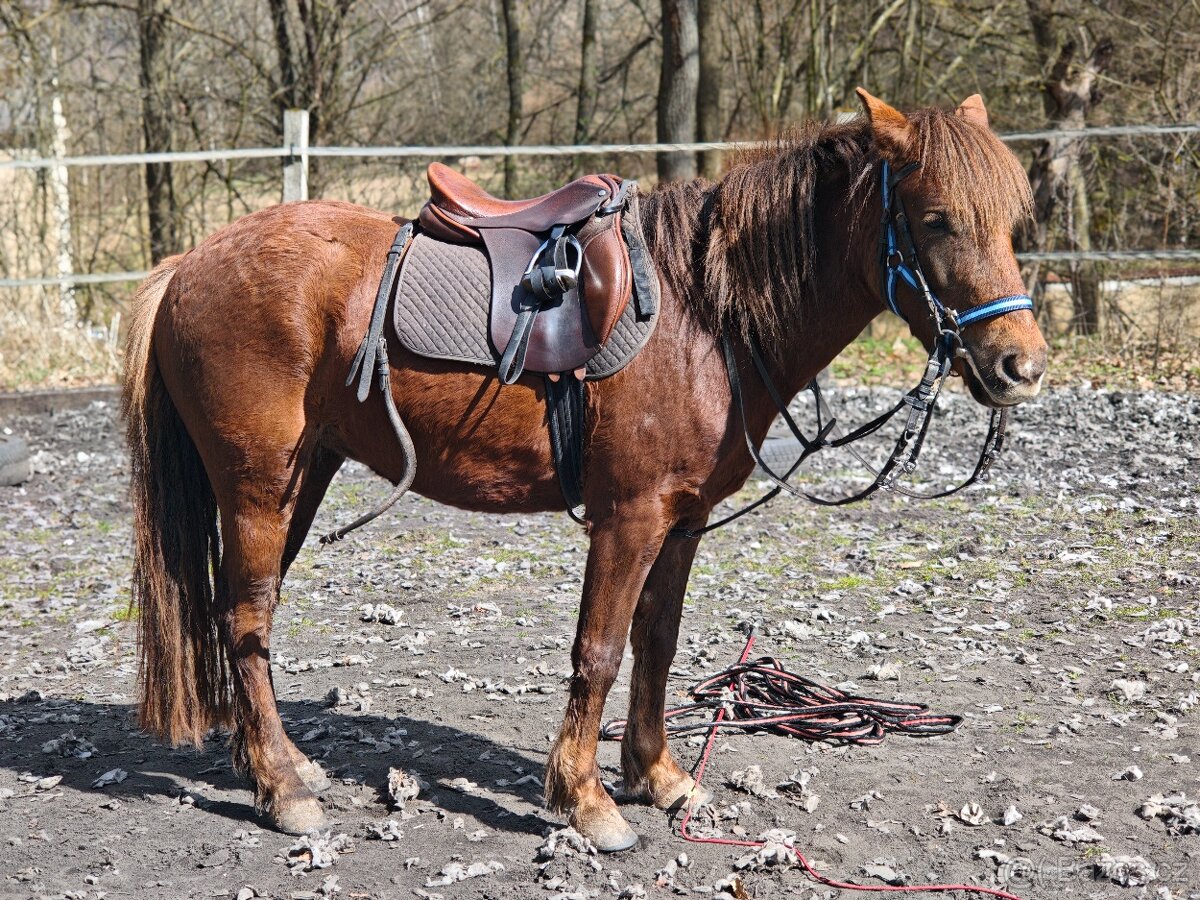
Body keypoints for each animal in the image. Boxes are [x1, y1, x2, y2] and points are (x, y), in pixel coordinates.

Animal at [122, 89, 1047, 852]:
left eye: (1012, 221)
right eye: (935, 219)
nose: (1021, 367)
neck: (703, 313)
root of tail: (186, 267)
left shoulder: (683, 518)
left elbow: (657, 641)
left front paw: (659, 778)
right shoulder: (629, 515)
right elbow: (598, 650)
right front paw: (586, 799)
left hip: (298, 480)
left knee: (238, 618)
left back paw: (272, 766)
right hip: (255, 489)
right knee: (246, 621)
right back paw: (283, 791)